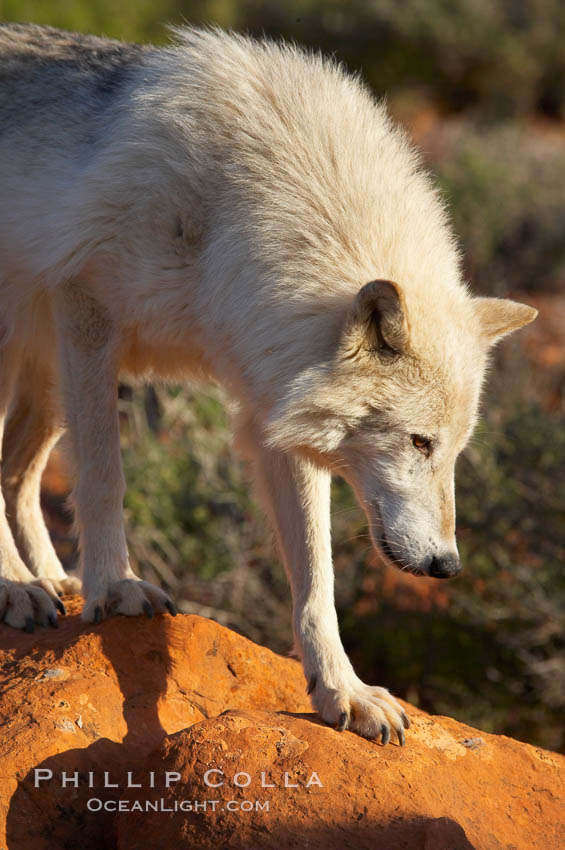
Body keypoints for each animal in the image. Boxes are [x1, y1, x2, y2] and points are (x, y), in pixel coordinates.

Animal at [0, 23, 536, 744]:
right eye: (418, 443)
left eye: (452, 453)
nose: (445, 567)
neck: (235, 212)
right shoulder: (88, 312)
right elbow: (106, 480)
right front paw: (115, 587)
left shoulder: (275, 403)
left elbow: (317, 577)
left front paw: (342, 690)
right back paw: (19, 585)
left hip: (49, 380)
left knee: (14, 471)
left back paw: (52, 582)